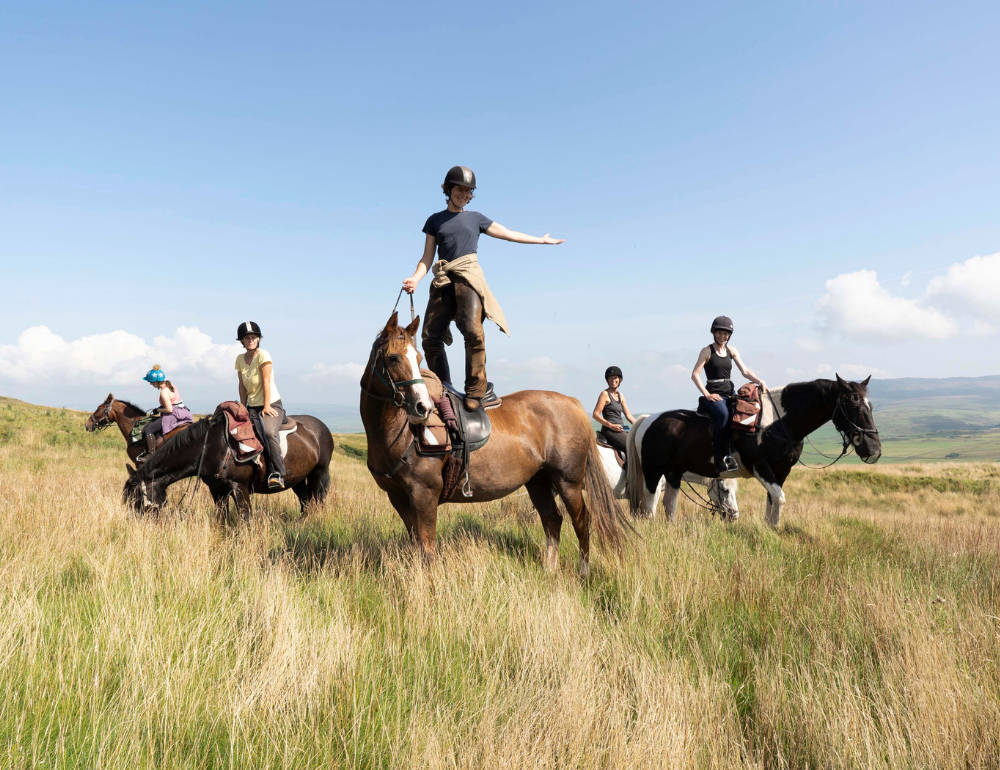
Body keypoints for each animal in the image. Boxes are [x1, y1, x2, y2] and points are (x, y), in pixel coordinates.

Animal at [123, 412, 334, 520]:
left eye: (137, 501)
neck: (211, 447)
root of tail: (322, 427)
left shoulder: (239, 489)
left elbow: (245, 519)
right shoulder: (217, 490)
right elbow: (222, 519)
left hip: (318, 474)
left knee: (315, 502)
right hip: (297, 479)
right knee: (305, 502)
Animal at [362, 308, 632, 572]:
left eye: (418, 359)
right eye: (393, 358)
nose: (423, 408)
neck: (400, 430)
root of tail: (573, 403)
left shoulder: (424, 495)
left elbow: (427, 550)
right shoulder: (399, 499)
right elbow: (416, 544)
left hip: (568, 482)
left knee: (582, 521)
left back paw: (583, 572)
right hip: (539, 481)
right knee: (552, 519)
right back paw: (550, 569)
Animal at [628, 376, 880, 524]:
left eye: (870, 406)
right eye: (853, 405)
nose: (874, 449)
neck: (778, 423)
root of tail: (648, 419)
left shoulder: (781, 471)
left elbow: (773, 502)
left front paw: (772, 531)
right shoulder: (761, 467)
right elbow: (779, 498)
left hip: (674, 473)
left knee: (669, 504)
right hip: (653, 473)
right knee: (649, 505)